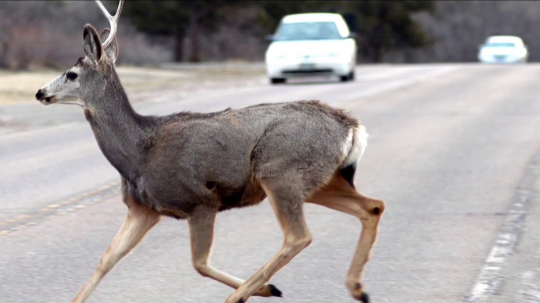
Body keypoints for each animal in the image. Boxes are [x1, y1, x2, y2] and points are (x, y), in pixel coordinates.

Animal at [33, 1, 384, 302]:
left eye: (71, 74)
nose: (39, 92)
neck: (137, 155)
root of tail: (351, 126)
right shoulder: (143, 209)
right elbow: (105, 260)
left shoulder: (200, 200)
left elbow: (198, 263)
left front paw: (264, 288)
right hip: (319, 179)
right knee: (372, 206)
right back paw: (357, 288)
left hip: (280, 171)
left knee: (299, 236)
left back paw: (241, 294)